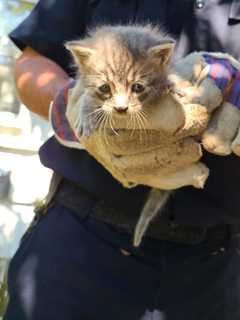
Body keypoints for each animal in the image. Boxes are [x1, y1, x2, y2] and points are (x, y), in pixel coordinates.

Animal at [65, 25, 174, 246]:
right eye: (105, 87)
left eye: (138, 87)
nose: (121, 108)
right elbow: (87, 94)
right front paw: (86, 111)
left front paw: (169, 87)